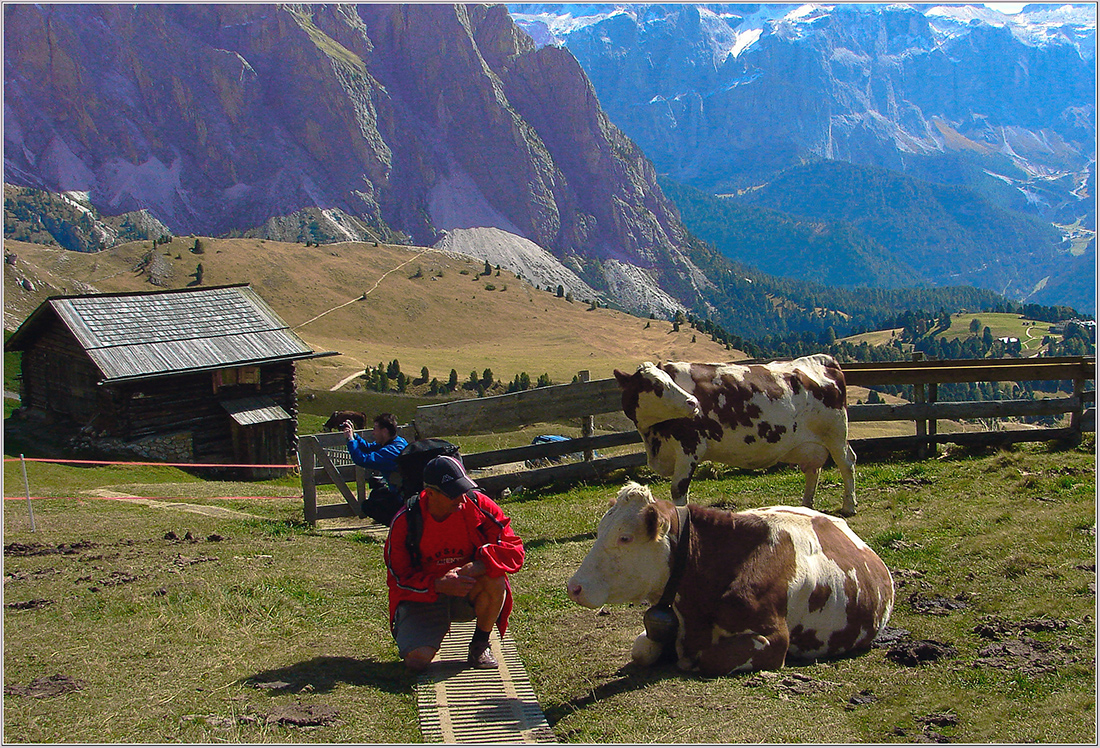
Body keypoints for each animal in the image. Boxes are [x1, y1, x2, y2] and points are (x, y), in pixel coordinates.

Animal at [567, 481, 893, 673]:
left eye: (624, 537)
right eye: (599, 530)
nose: (574, 587)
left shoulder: (774, 640)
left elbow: (709, 659)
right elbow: (641, 650)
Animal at [616, 354, 853, 517]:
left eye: (670, 381)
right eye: (656, 385)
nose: (693, 402)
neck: (653, 438)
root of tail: (822, 360)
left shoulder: (690, 447)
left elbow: (678, 489)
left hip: (836, 434)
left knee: (847, 462)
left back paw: (849, 506)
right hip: (813, 443)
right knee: (813, 469)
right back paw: (806, 506)